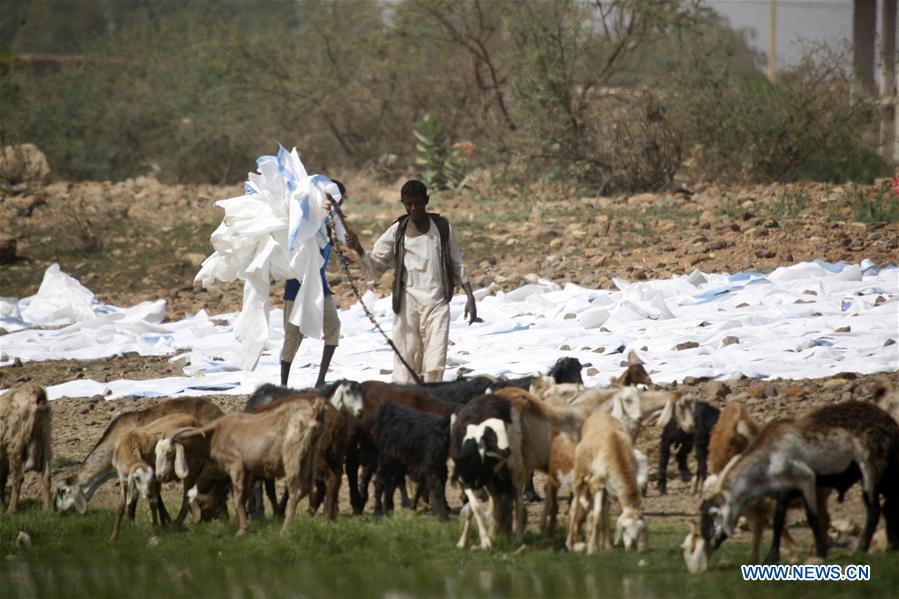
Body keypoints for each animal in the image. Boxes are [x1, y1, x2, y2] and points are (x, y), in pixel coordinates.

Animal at [0, 382, 51, 512]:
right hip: (46, 436)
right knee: (47, 475)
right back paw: (47, 508)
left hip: (17, 441)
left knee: (18, 478)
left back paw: (11, 510)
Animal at [568, 412, 648, 552]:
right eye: (625, 530)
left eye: (639, 531)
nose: (632, 549)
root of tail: (598, 414)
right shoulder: (597, 485)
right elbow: (598, 516)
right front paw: (592, 549)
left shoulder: (608, 490)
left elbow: (605, 516)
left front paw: (606, 546)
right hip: (579, 475)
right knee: (574, 507)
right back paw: (569, 544)